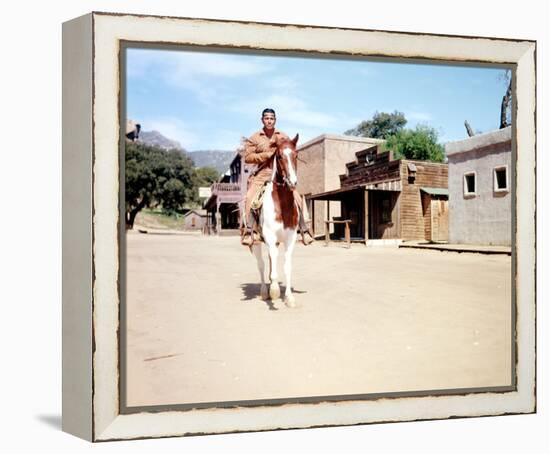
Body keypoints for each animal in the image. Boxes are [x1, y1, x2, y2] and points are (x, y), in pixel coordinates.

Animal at [253, 133, 302, 306]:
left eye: (296, 155)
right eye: (280, 156)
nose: (292, 182)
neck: (281, 206)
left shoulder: (290, 238)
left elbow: (287, 267)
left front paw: (289, 297)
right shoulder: (269, 236)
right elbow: (271, 264)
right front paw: (274, 291)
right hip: (255, 242)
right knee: (261, 264)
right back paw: (264, 292)